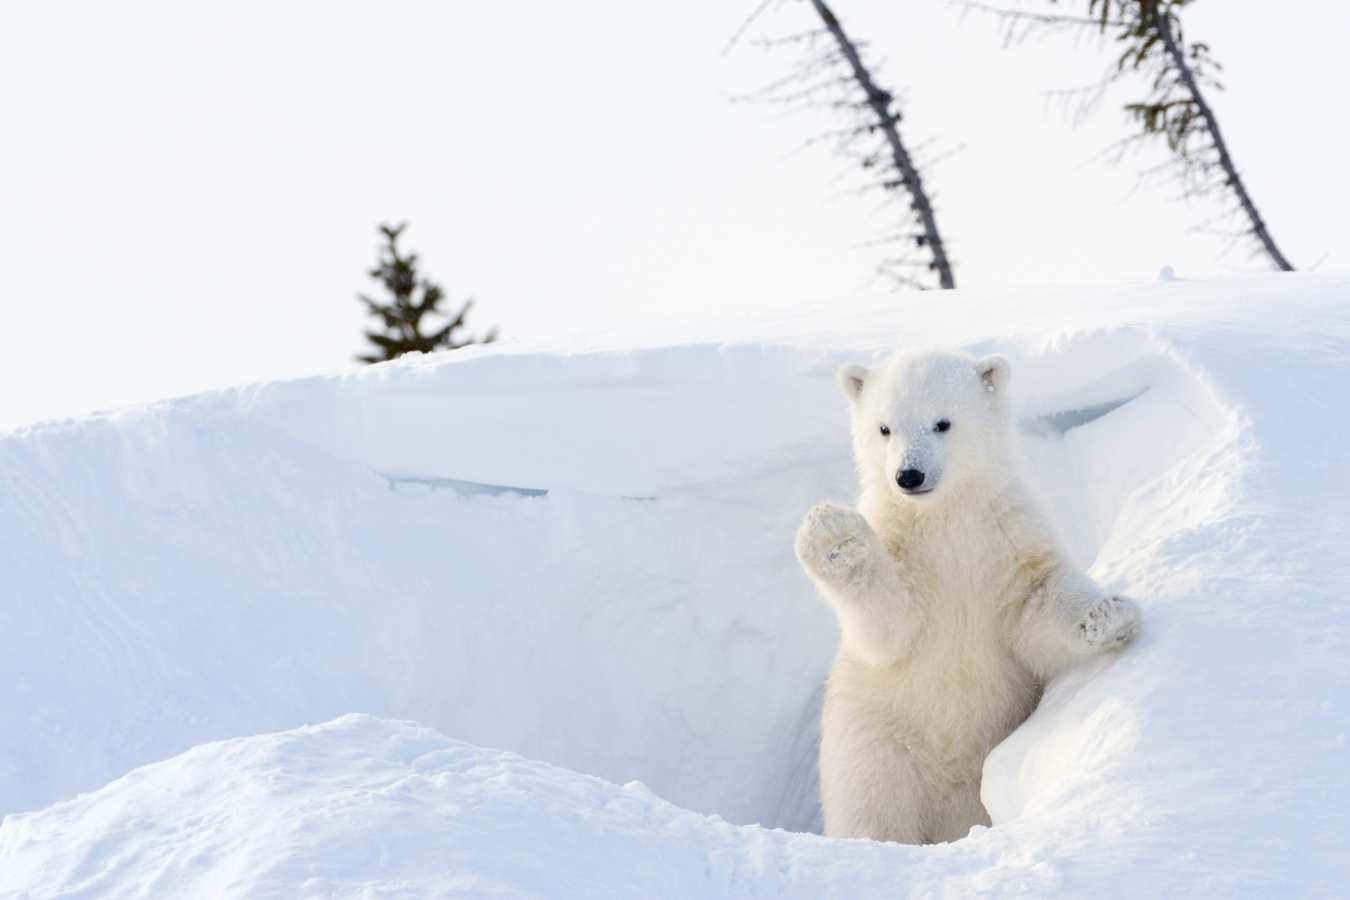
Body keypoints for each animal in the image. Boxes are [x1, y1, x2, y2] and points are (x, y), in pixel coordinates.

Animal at [795, 349, 1139, 844]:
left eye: (942, 422)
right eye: (884, 428)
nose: (908, 475)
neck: (944, 518)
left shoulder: (1007, 539)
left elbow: (1036, 604)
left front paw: (1109, 615)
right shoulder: (904, 552)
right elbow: (889, 626)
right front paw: (833, 536)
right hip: (875, 744)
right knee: (873, 810)